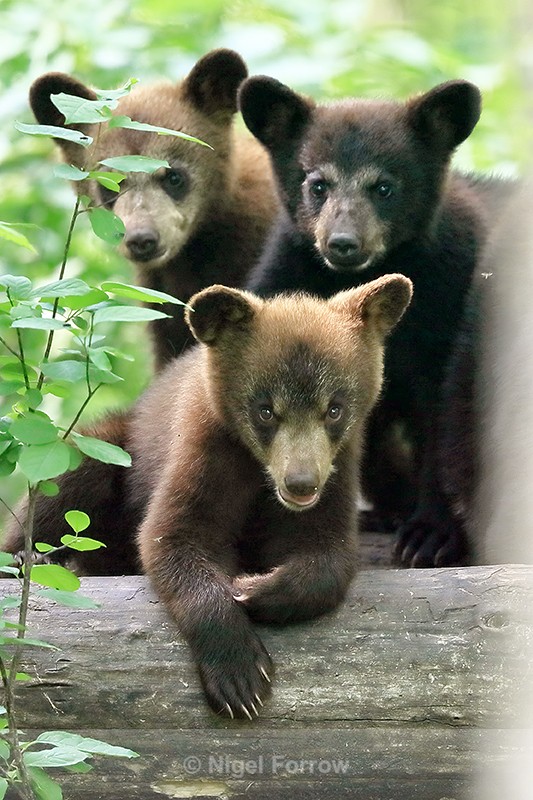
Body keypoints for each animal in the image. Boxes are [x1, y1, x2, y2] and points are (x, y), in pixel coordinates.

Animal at [4, 275, 413, 717]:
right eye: (265, 410)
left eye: (334, 408)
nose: (301, 484)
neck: (258, 470)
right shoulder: (204, 450)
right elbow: (174, 536)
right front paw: (239, 675)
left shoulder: (338, 471)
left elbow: (328, 553)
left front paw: (257, 588)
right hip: (110, 447)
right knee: (68, 477)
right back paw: (33, 557)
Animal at [238, 73, 515, 567]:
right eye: (318, 184)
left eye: (384, 187)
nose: (343, 243)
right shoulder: (287, 279)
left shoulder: (448, 302)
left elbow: (442, 417)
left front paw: (430, 535)